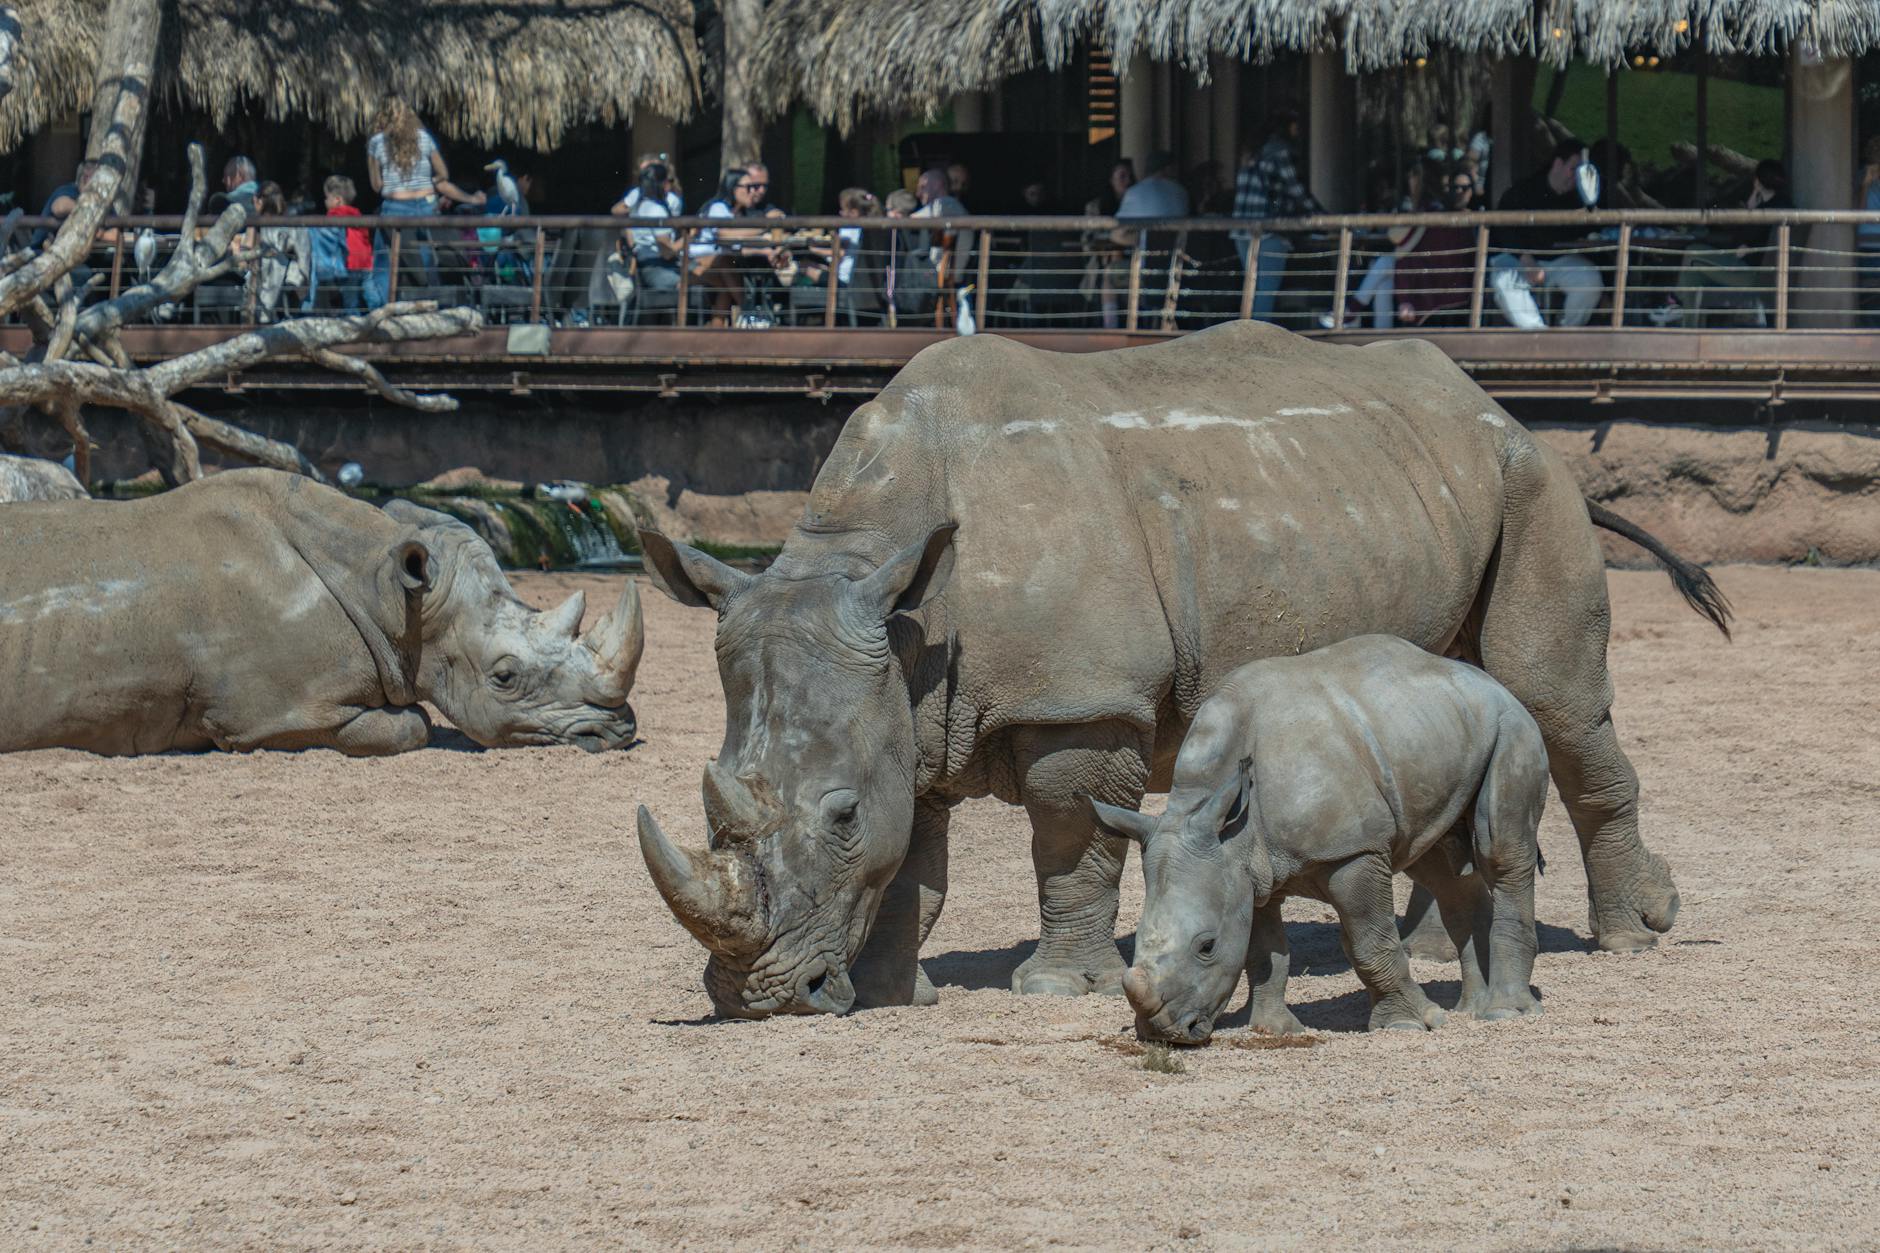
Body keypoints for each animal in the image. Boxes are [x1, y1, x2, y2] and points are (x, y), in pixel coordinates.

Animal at [1089, 635, 1548, 1043]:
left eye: (1207, 946)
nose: (1164, 1033)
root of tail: (1490, 682)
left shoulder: (1352, 852)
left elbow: (1370, 942)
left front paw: (1410, 1024)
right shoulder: (1248, 869)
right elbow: (1265, 953)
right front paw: (1273, 1029)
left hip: (1511, 727)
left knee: (1499, 852)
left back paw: (1504, 1012)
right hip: (1437, 731)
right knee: (1445, 871)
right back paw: (1471, 1009)